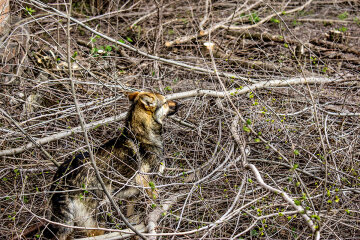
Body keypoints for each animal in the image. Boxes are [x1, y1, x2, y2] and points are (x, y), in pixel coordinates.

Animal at [46, 91, 179, 239]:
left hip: (70, 223)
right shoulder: (146, 182)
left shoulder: (131, 198)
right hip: (95, 220)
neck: (141, 135)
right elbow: (157, 199)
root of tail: (62, 176)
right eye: (166, 102)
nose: (179, 104)